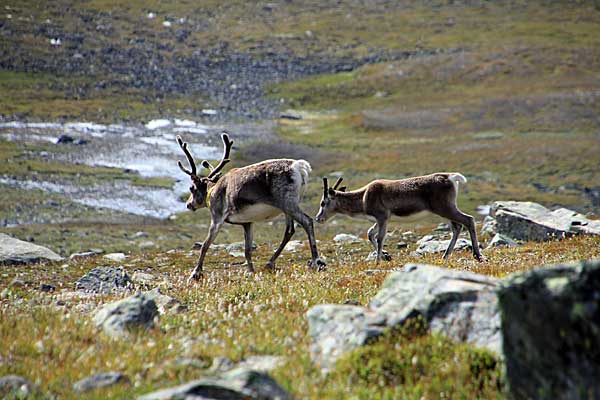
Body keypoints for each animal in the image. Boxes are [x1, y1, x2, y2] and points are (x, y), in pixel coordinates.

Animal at [316, 174, 486, 262]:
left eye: (323, 202)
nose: (318, 218)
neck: (363, 198)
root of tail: (450, 177)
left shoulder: (382, 216)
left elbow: (380, 238)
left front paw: (378, 261)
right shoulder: (382, 219)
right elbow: (370, 234)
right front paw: (385, 256)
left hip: (445, 208)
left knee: (468, 220)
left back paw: (477, 255)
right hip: (444, 211)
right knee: (457, 227)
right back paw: (445, 256)